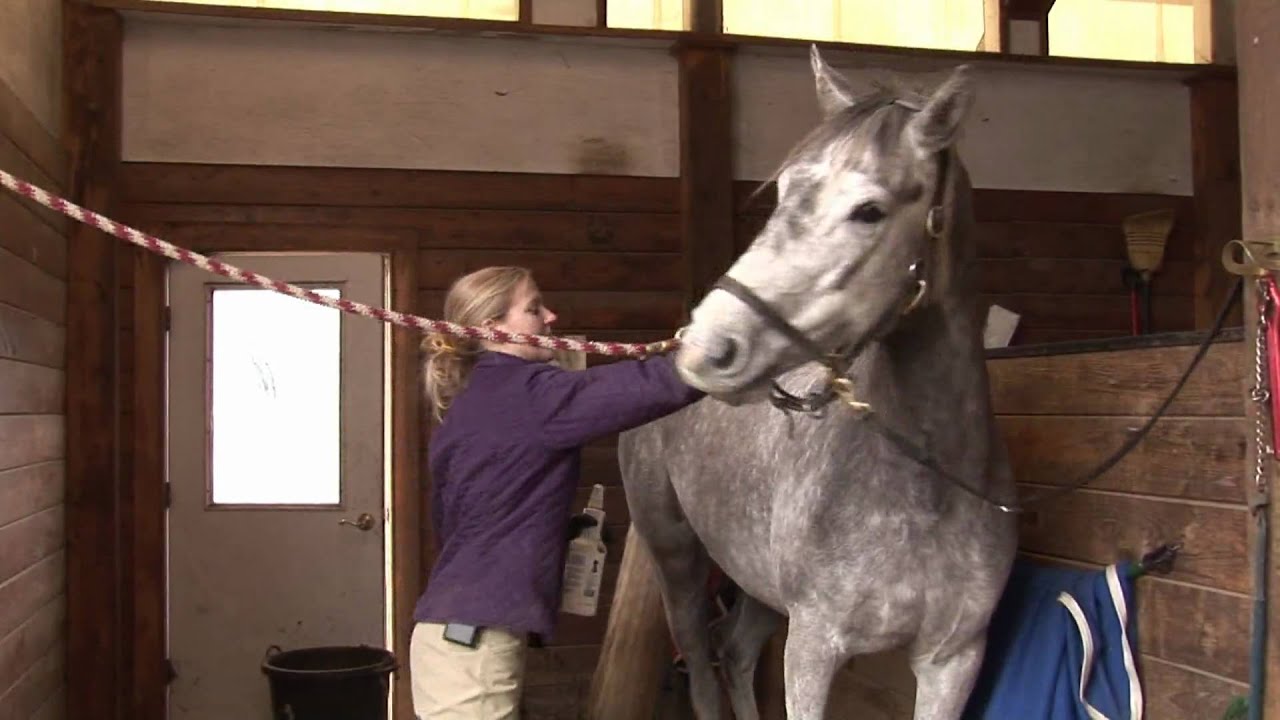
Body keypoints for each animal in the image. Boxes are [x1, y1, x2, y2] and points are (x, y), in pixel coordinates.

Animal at [617, 47, 1018, 720]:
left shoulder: (952, 661)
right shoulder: (813, 644)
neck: (930, 486)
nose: (707, 346)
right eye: (782, 193)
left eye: (869, 210)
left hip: (754, 585)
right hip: (677, 562)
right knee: (701, 665)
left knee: (735, 652)